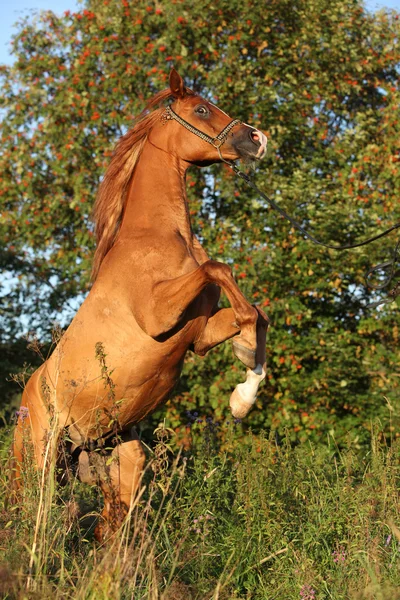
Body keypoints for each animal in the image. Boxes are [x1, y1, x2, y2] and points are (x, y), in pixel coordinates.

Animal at [12, 69, 268, 540]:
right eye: (201, 108)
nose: (257, 139)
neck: (158, 236)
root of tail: (26, 401)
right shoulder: (157, 316)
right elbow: (221, 270)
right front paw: (242, 391)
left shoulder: (198, 335)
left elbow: (257, 314)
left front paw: (242, 393)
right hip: (41, 458)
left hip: (119, 462)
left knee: (112, 529)